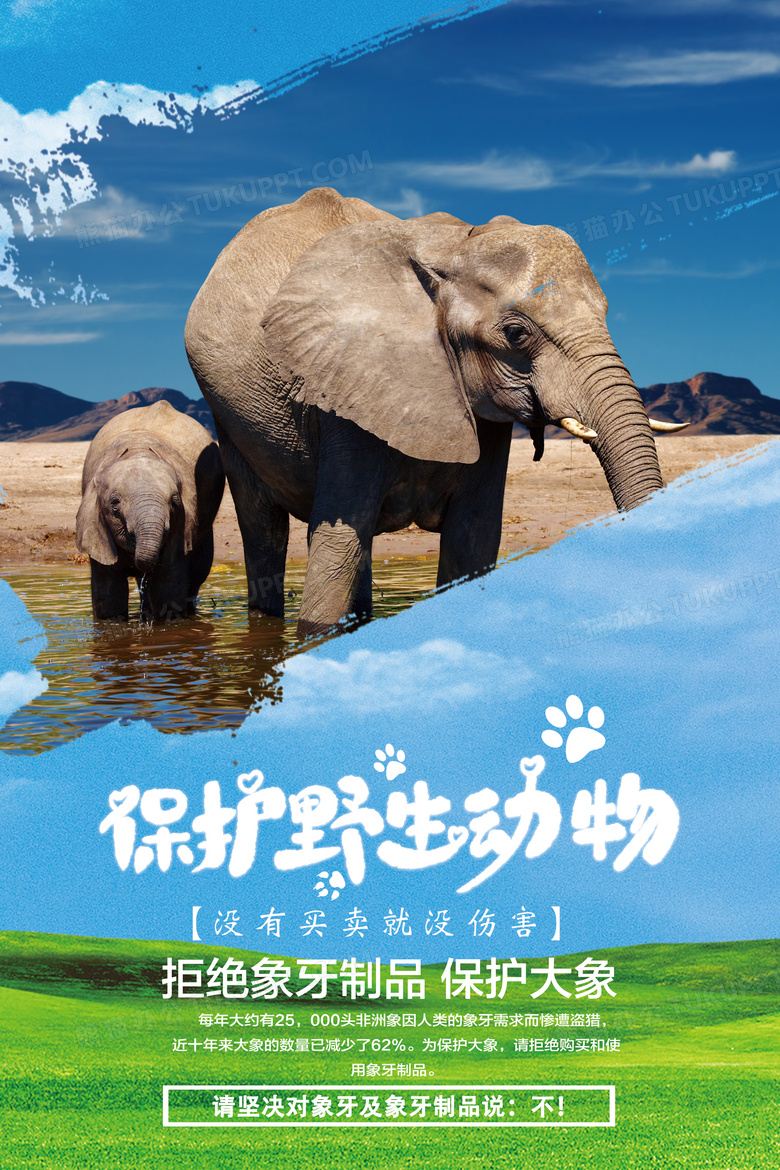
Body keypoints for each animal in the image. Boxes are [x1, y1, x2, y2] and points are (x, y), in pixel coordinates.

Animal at [75, 400, 225, 620]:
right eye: (115, 504)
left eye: (174, 502)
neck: (138, 450)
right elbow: (109, 595)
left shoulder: (182, 524)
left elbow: (167, 587)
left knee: (198, 572)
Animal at [185, 186, 683, 636]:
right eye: (516, 333)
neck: (452, 249)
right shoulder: (347, 390)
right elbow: (337, 546)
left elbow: (472, 539)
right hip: (229, 419)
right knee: (264, 531)